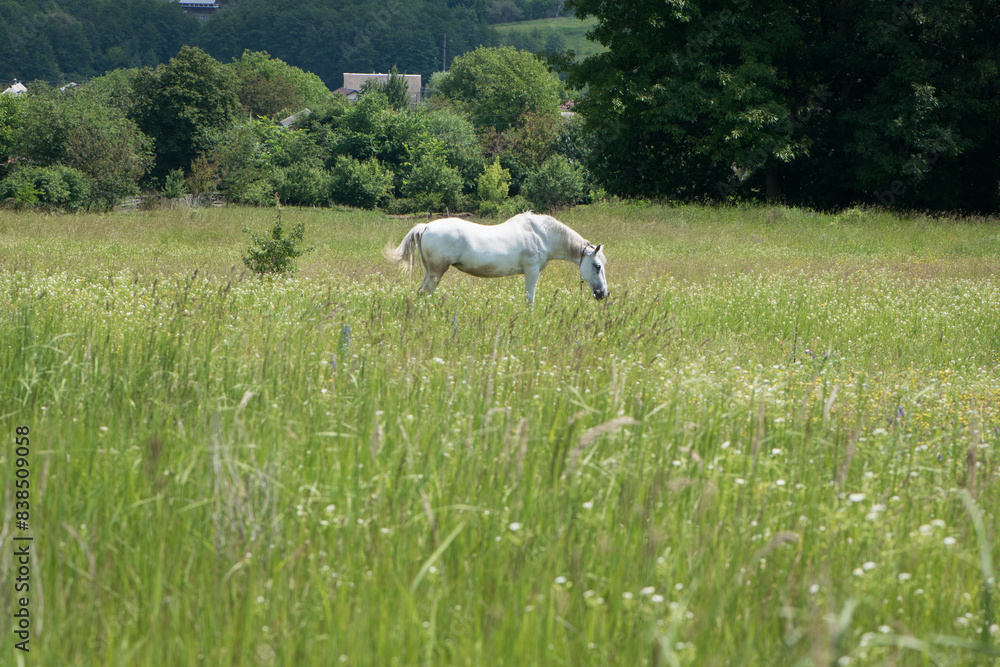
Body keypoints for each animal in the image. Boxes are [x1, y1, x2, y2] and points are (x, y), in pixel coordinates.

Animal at [384, 212, 608, 305]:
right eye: (597, 266)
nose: (603, 294)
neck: (542, 234)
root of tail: (426, 226)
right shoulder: (532, 270)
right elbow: (530, 299)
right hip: (437, 272)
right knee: (425, 293)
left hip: (430, 271)